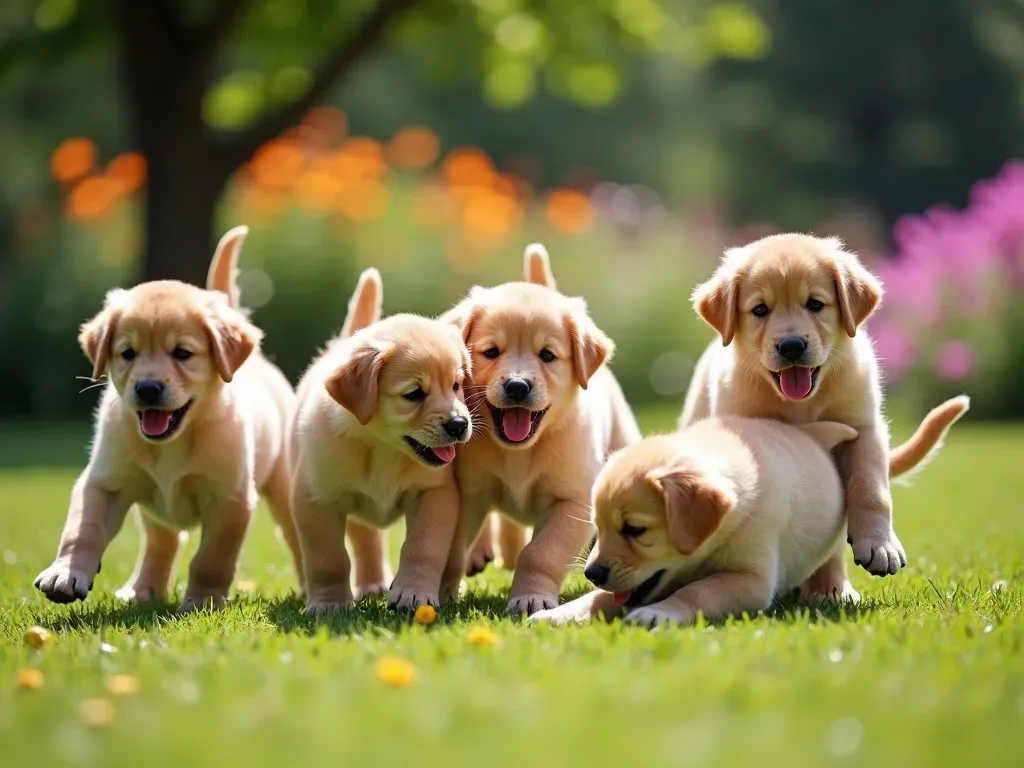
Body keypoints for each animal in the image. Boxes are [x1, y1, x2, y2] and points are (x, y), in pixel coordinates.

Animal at [33, 224, 303, 614]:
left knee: (295, 535)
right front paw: (65, 574)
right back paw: (141, 589)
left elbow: (212, 558)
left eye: (183, 353)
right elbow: (81, 529)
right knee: (163, 542)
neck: (174, 441)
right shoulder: (104, 482)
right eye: (127, 353)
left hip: (283, 484)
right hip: (153, 506)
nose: (147, 388)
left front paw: (203, 599)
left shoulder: (231, 499)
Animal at [290, 268, 473, 614]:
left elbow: (422, 546)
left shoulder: (435, 494)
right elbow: (328, 559)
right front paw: (330, 603)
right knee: (364, 540)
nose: (459, 424)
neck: (382, 448)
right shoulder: (316, 500)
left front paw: (413, 593)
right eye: (413, 394)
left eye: (456, 385)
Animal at [442, 243, 638, 618]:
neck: (520, 452)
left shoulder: (573, 501)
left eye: (547, 355)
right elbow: (452, 546)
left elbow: (540, 552)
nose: (518, 386)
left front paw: (530, 597)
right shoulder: (469, 490)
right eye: (491, 352)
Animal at [532, 393, 970, 626]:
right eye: (598, 528)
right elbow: (601, 599)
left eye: (635, 530)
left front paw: (661, 613)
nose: (591, 573)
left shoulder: (751, 578)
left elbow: (699, 591)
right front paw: (560, 614)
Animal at [684, 233, 901, 593]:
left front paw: (880, 544)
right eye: (760, 310)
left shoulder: (865, 427)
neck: (802, 403)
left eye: (815, 304)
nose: (791, 346)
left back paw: (833, 588)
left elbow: (871, 487)